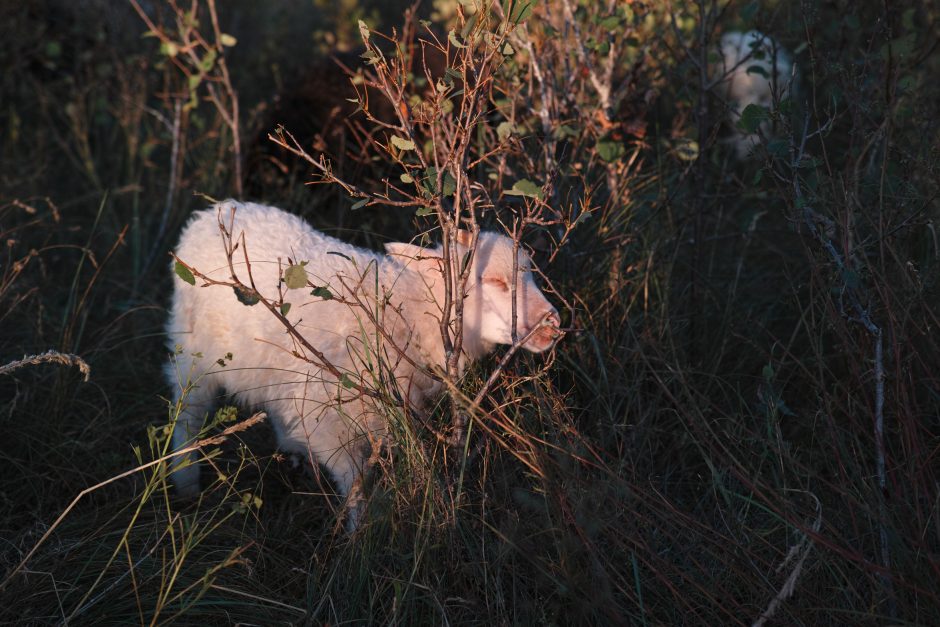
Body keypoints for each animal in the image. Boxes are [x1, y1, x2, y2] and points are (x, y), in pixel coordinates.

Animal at [163, 201, 560, 528]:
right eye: (494, 281)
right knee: (188, 414)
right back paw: (186, 482)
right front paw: (358, 537)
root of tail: (211, 213)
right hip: (192, 349)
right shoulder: (329, 423)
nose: (552, 324)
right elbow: (354, 484)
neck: (408, 313)